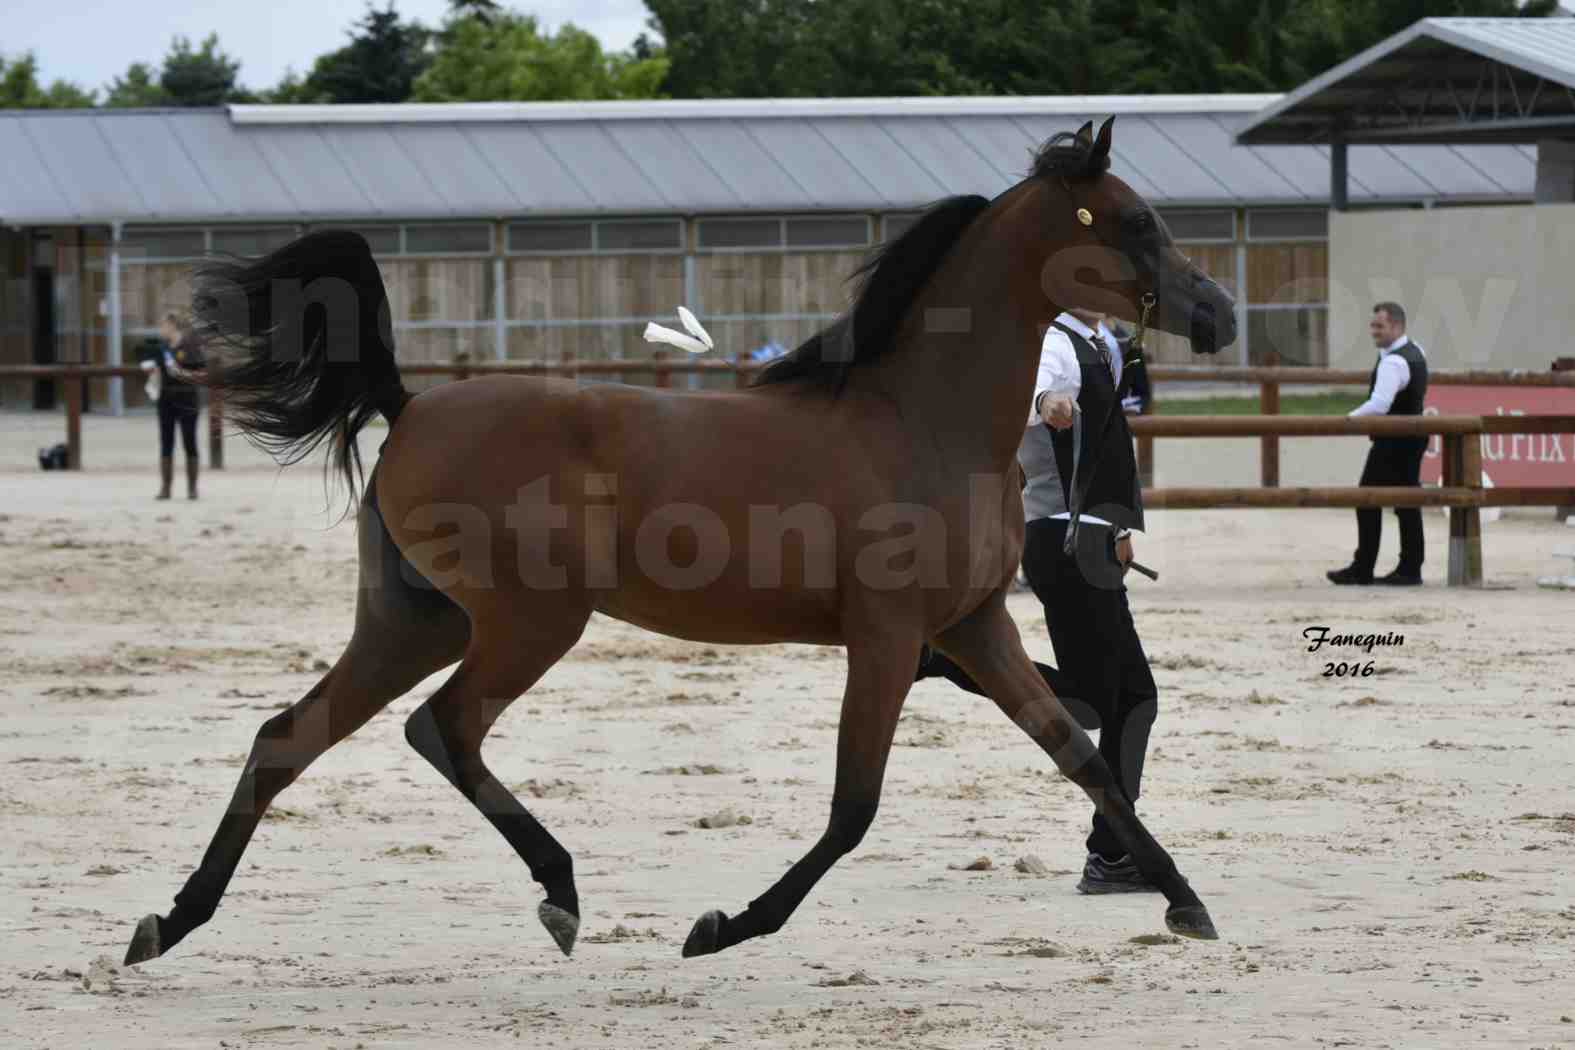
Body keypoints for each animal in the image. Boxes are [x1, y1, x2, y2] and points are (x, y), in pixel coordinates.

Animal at [122, 117, 1234, 969]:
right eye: (1133, 220)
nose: (1218, 315)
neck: (922, 420)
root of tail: (411, 404)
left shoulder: (974, 628)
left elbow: (1080, 755)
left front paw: (1185, 900)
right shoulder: (886, 637)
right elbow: (854, 807)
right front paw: (726, 927)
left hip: (416, 623)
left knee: (288, 738)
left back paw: (169, 924)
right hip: (528, 624)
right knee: (443, 729)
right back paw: (560, 893)